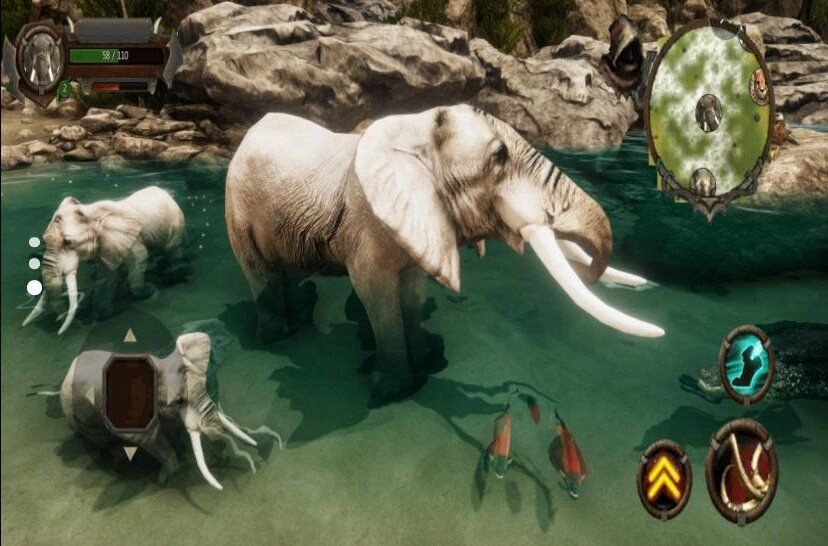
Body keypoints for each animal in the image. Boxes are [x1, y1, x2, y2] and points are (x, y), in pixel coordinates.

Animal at [22, 186, 186, 335]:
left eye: (68, 242)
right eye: (44, 239)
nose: (79, 322)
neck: (89, 212)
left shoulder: (132, 239)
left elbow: (140, 259)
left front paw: (149, 291)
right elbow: (107, 275)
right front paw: (101, 315)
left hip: (176, 222)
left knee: (172, 249)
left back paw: (172, 279)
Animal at [47, 332, 280, 489]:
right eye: (180, 400)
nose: (259, 463)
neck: (158, 363)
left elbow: (170, 426)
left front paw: (182, 453)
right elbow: (154, 441)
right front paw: (165, 480)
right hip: (75, 411)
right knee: (99, 436)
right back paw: (118, 464)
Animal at [225, 105, 665, 406]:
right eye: (499, 157)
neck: (415, 127)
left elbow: (413, 290)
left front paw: (431, 360)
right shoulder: (368, 223)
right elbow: (375, 293)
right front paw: (392, 391)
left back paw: (303, 309)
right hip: (238, 209)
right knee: (260, 272)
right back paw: (278, 335)